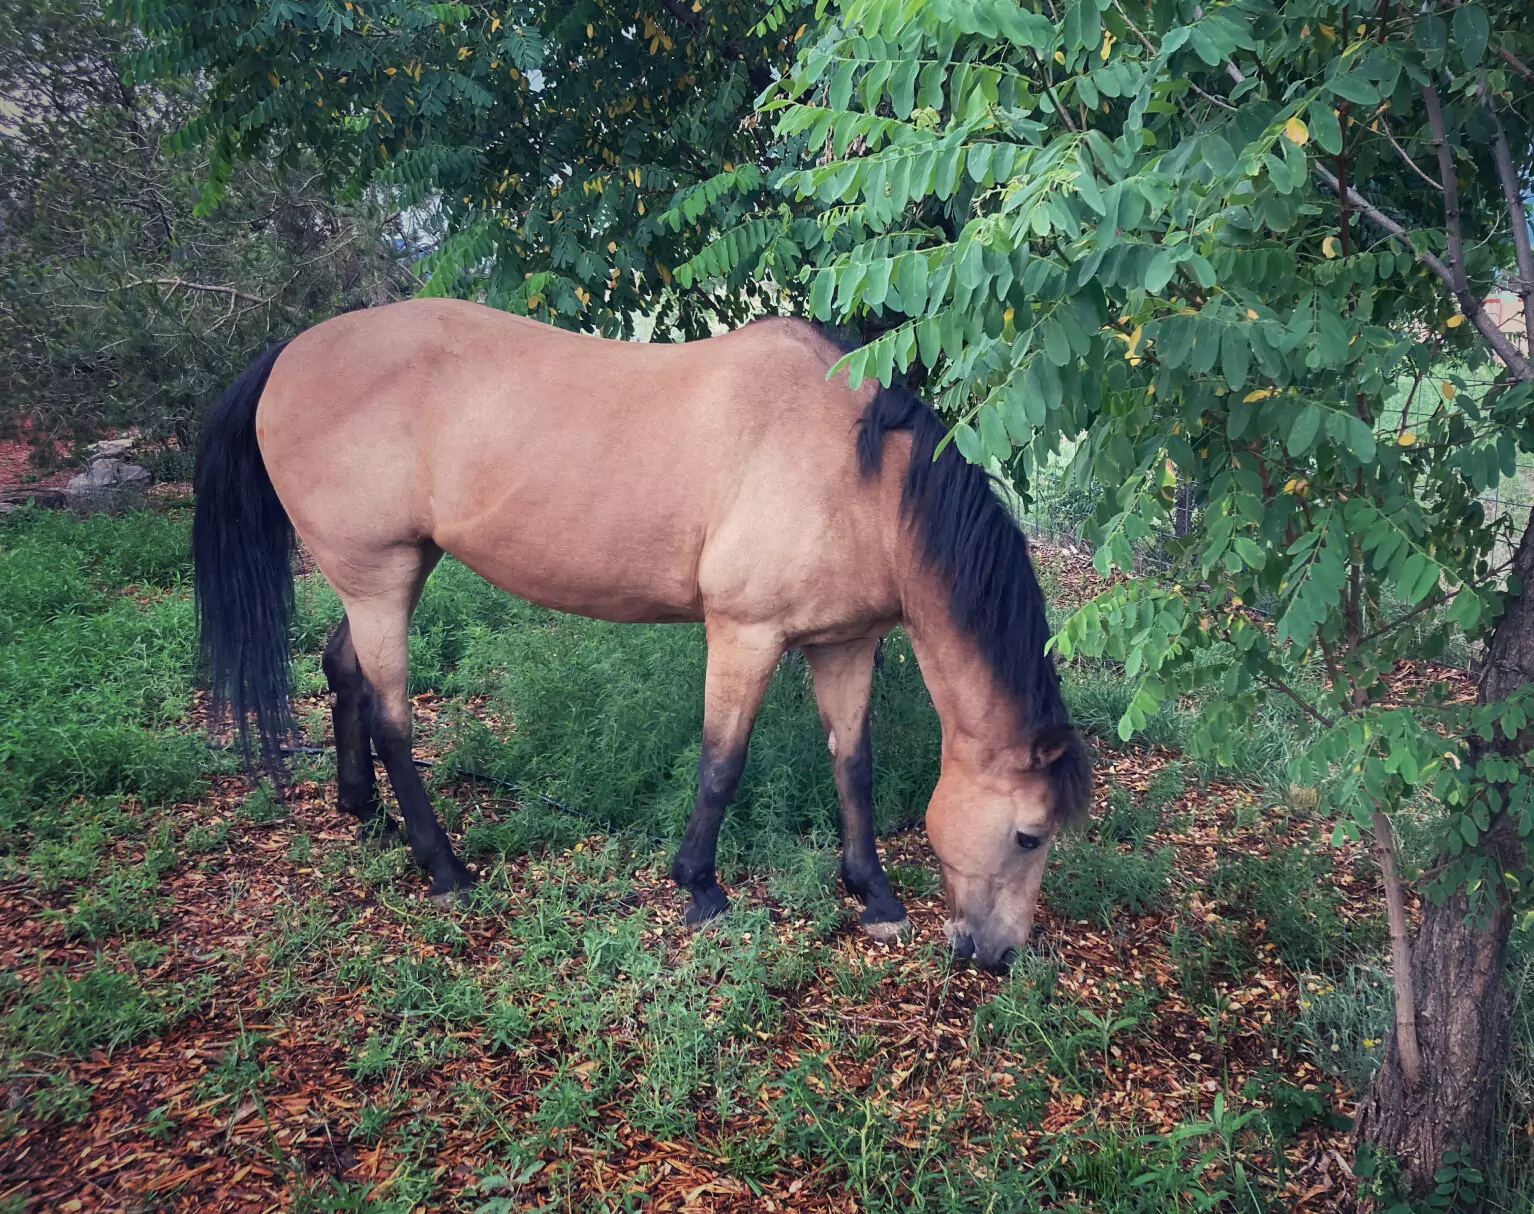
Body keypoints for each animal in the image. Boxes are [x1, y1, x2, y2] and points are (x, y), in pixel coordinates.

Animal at [194, 299, 1092, 976]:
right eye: (1028, 835)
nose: (997, 955)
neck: (855, 473)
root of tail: (288, 356)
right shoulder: (745, 635)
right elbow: (721, 764)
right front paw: (699, 888)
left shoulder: (844, 644)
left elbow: (854, 766)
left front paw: (871, 892)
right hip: (379, 581)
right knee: (393, 721)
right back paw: (444, 867)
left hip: (392, 575)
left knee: (339, 668)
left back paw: (363, 809)